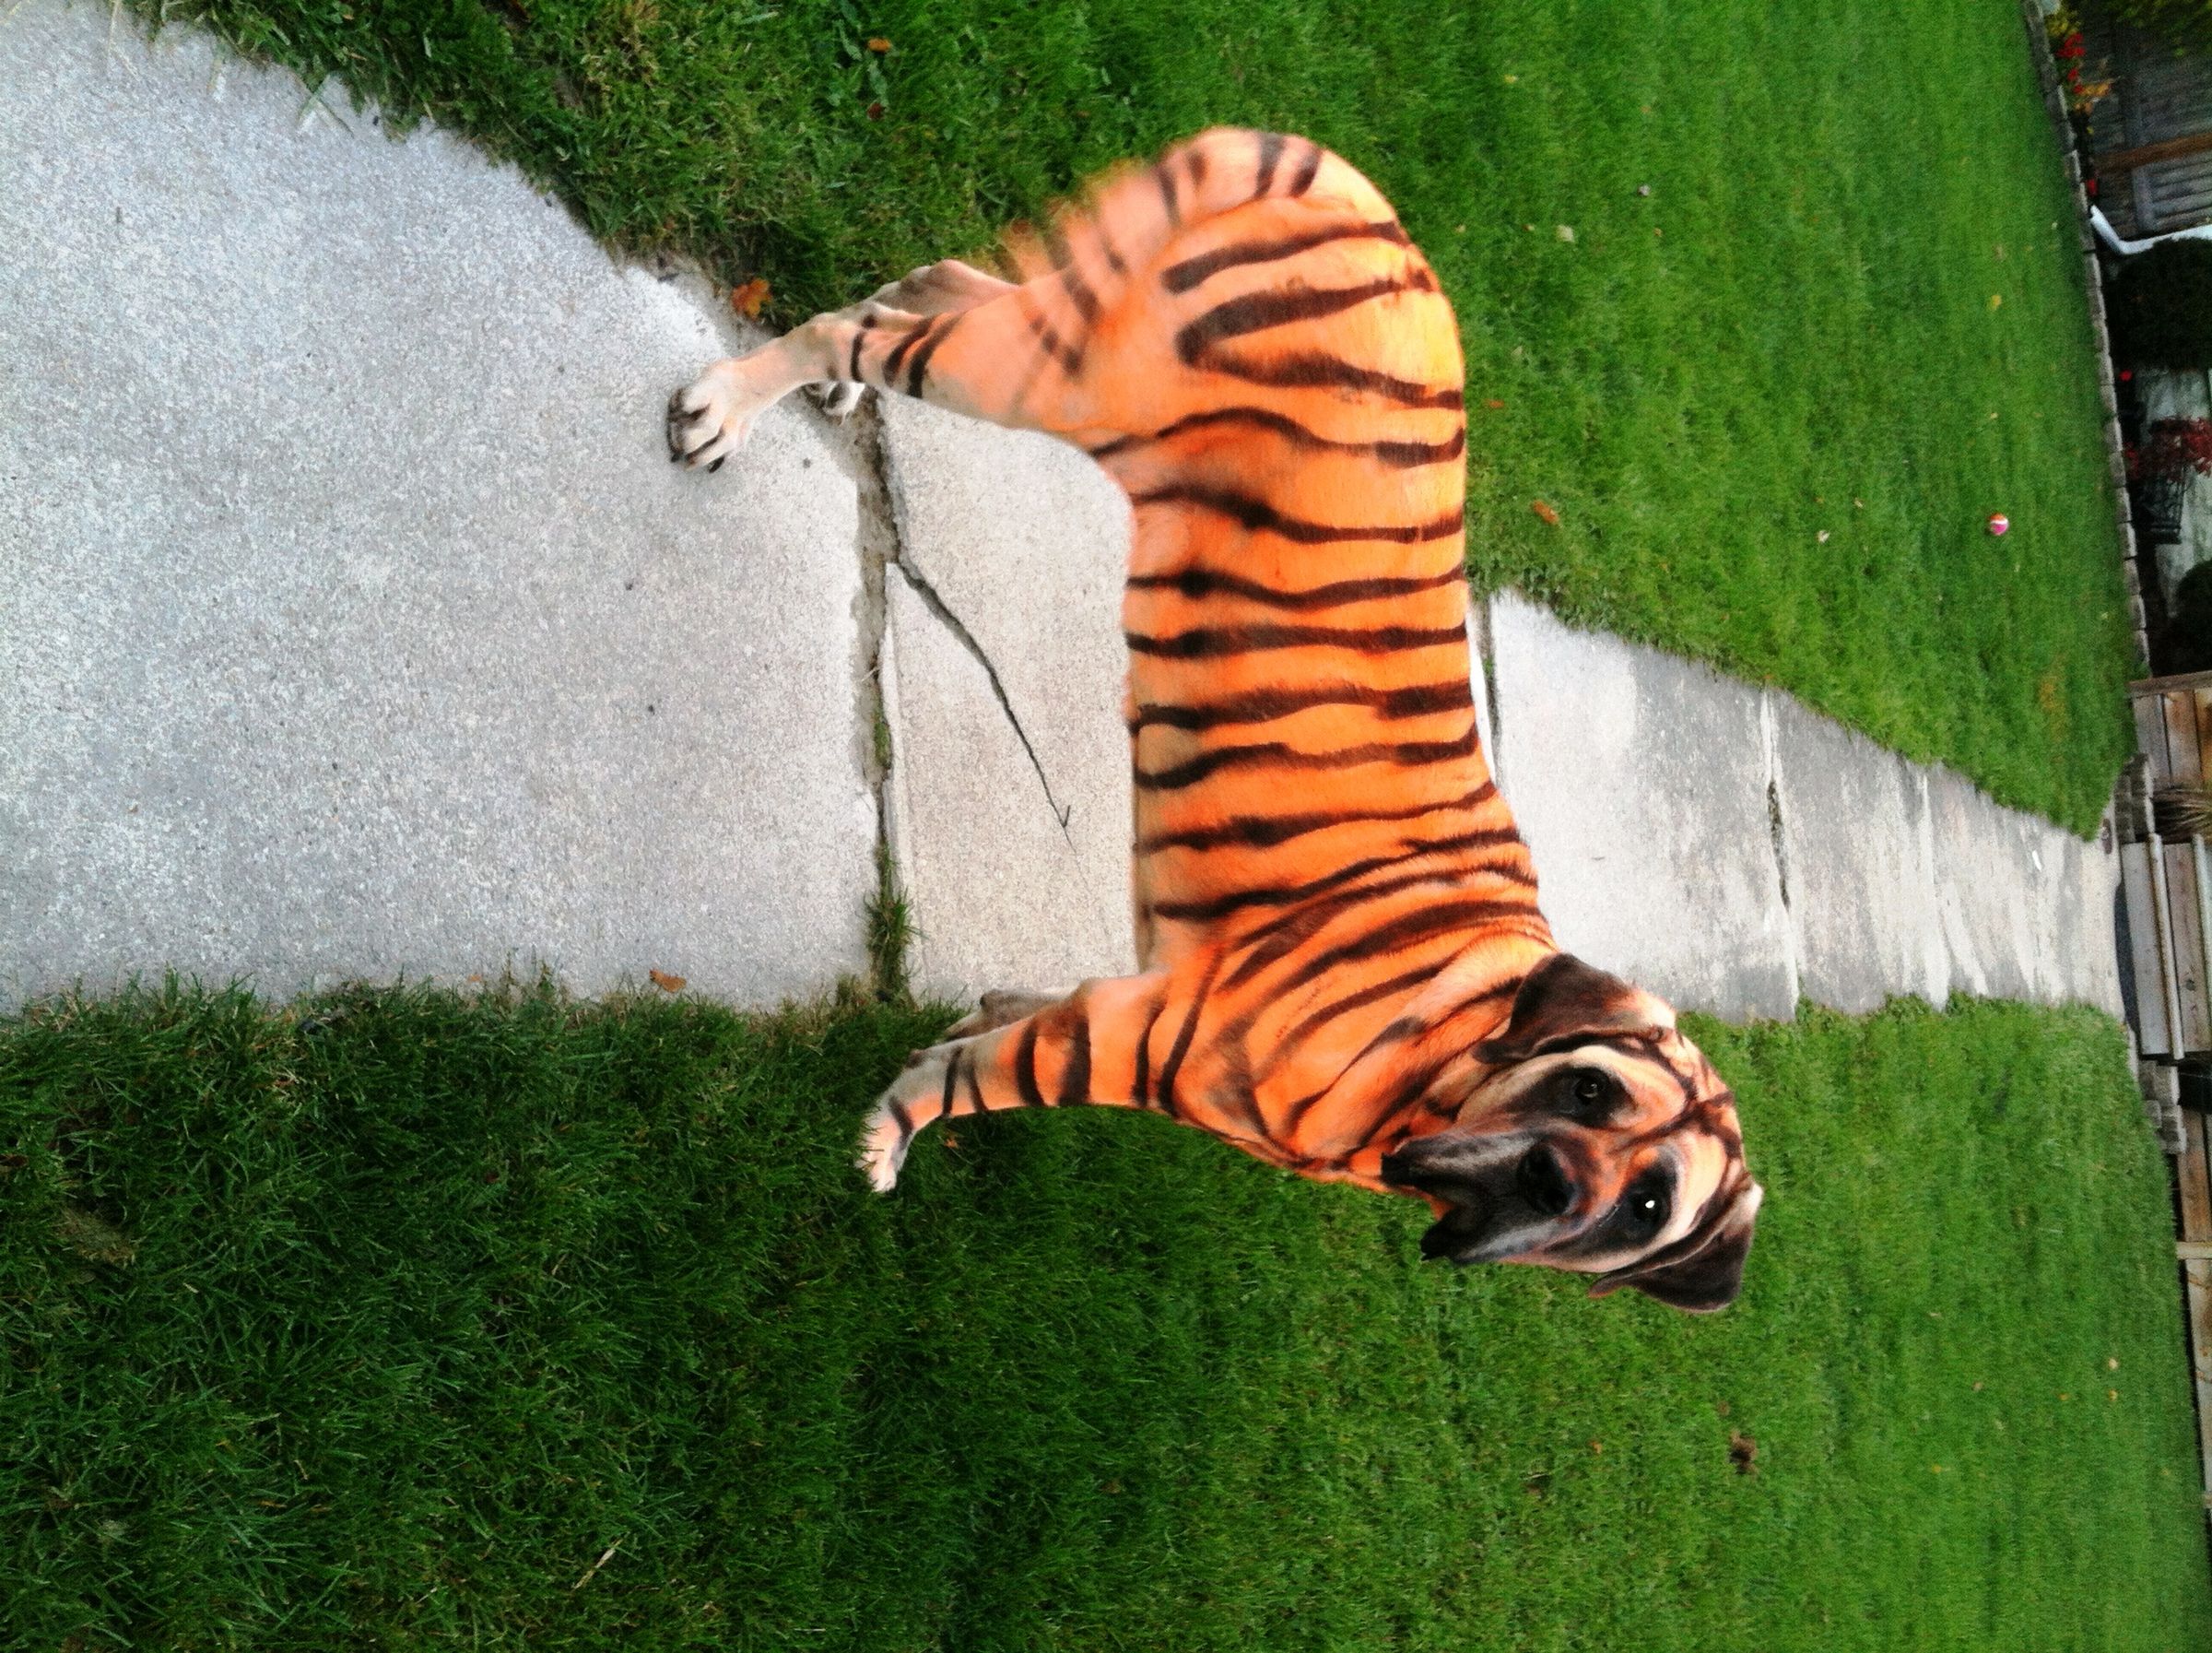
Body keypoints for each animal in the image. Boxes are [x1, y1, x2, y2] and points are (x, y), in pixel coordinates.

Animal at [669, 128, 1763, 1312]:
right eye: (1590, 1092)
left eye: (1647, 1205)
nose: (1553, 1181)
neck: (1457, 1055)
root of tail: (1366, 206)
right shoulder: (1119, 1045)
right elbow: (965, 1081)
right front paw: (887, 1135)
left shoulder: (1124, 994)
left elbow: (995, 1022)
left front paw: (955, 1034)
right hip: (1057, 382)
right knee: (860, 330)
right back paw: (726, 403)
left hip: (1069, 353)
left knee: (938, 291)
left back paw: (842, 363)